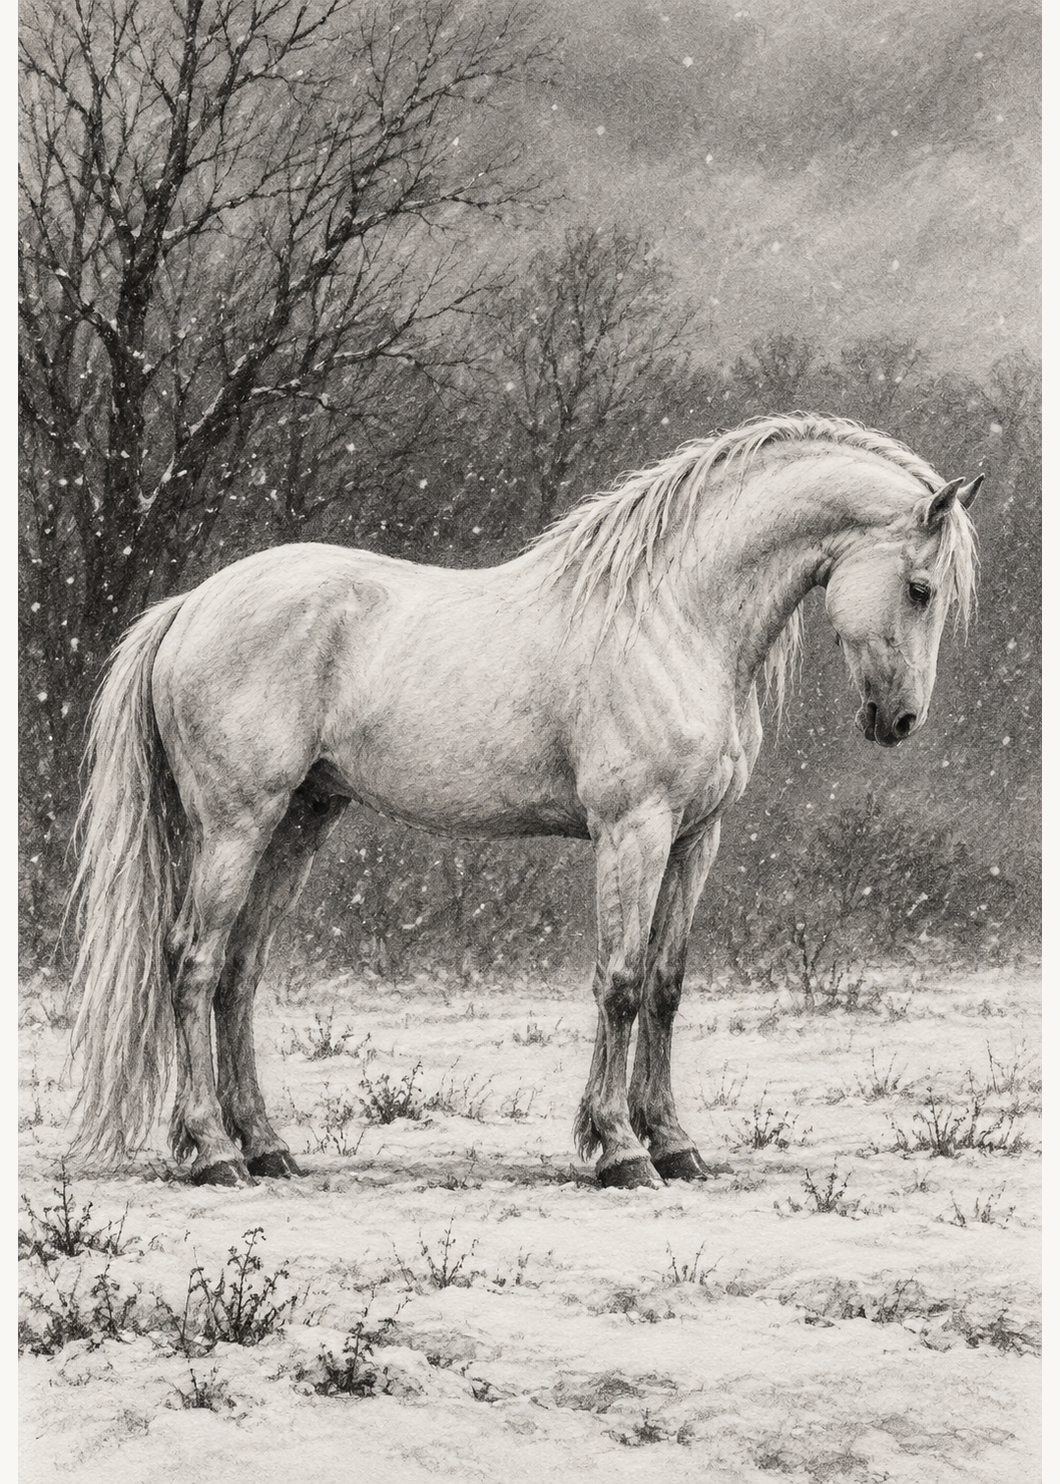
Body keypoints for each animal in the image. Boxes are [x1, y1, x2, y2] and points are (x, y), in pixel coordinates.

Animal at [67, 412, 981, 1189]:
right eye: (921, 589)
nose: (900, 720)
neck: (677, 617)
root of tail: (190, 606)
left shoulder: (696, 838)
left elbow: (666, 985)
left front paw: (676, 1145)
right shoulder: (633, 830)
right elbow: (620, 982)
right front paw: (620, 1152)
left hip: (299, 821)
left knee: (240, 972)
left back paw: (266, 1147)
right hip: (236, 823)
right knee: (193, 962)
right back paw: (214, 1153)